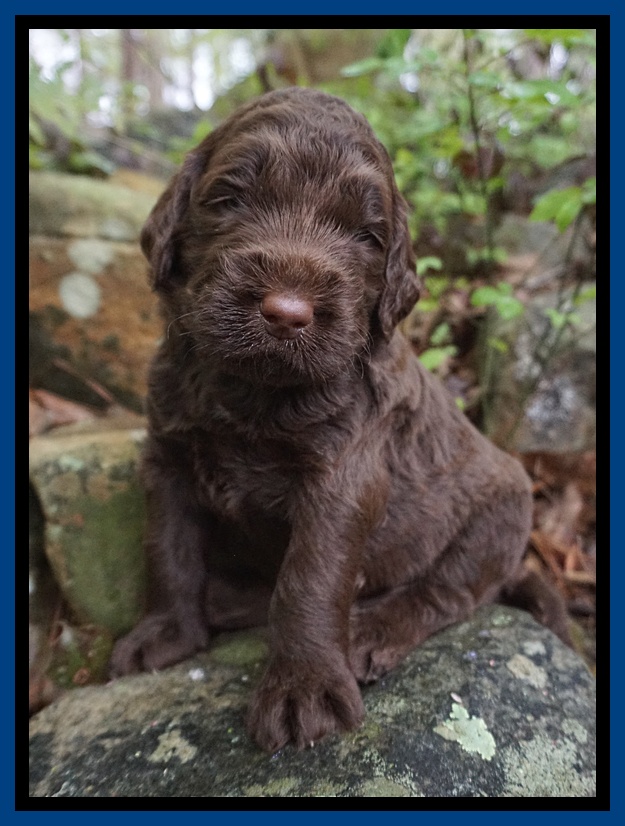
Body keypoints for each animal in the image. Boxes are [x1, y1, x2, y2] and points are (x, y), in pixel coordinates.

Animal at [111, 87, 568, 752]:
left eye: (367, 236)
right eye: (229, 199)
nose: (287, 312)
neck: (254, 391)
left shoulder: (344, 477)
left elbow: (310, 578)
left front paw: (302, 687)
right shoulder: (167, 456)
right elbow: (167, 547)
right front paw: (166, 632)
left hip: (501, 511)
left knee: (447, 591)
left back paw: (372, 630)